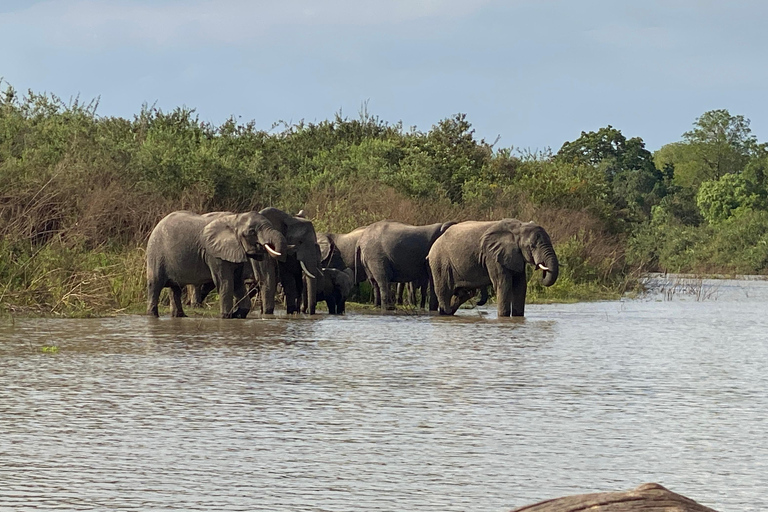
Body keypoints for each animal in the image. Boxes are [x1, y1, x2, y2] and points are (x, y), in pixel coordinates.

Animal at [146, 210, 286, 318]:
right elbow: (225, 282)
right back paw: (153, 316)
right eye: (252, 231)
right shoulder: (214, 253)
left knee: (175, 288)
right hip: (156, 253)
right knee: (155, 284)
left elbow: (237, 282)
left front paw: (238, 314)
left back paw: (180, 316)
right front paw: (226, 316)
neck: (235, 219)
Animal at [426, 219, 560, 316]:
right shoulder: (493, 256)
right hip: (439, 262)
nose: (541, 268)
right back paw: (445, 313)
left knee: (465, 293)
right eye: (532, 246)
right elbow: (503, 284)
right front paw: (503, 317)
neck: (518, 228)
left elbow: (520, 285)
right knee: (444, 291)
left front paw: (517, 317)